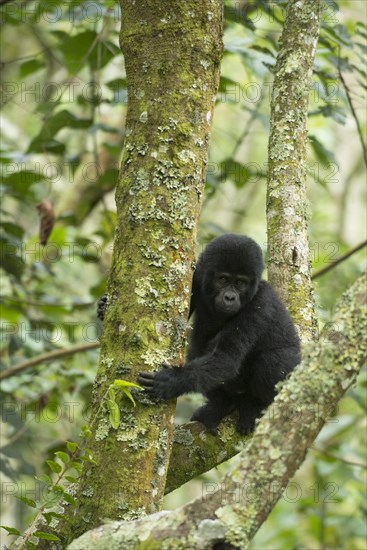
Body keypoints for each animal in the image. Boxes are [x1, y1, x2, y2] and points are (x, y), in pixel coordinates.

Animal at [139, 235, 302, 438]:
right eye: (223, 279)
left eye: (240, 283)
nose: (230, 298)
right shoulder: (197, 279)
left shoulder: (261, 301)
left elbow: (226, 358)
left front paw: (172, 380)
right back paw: (220, 406)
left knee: (274, 359)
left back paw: (254, 407)